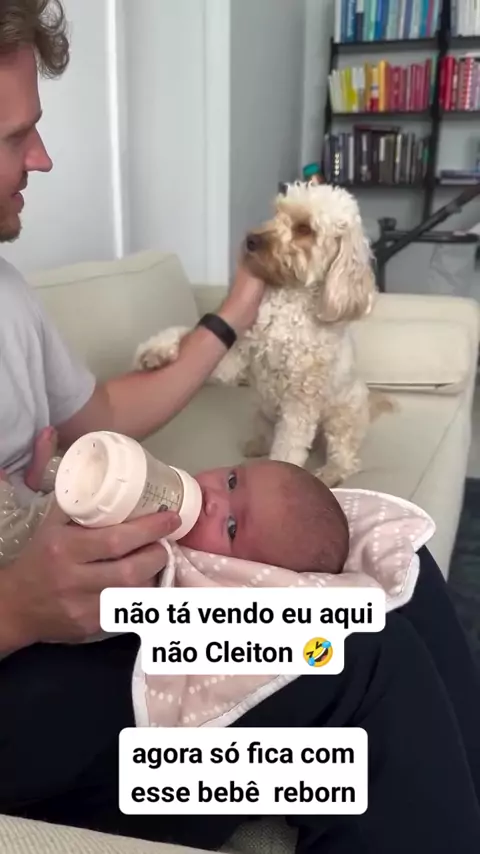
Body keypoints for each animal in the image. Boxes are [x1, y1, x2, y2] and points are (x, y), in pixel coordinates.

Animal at [134, 181, 379, 487]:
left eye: (304, 229)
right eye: (277, 213)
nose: (251, 240)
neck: (287, 300)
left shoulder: (299, 405)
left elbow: (287, 450)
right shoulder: (232, 357)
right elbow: (187, 331)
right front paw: (156, 348)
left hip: (342, 417)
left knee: (346, 458)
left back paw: (330, 473)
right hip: (263, 411)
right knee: (265, 430)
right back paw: (257, 444)